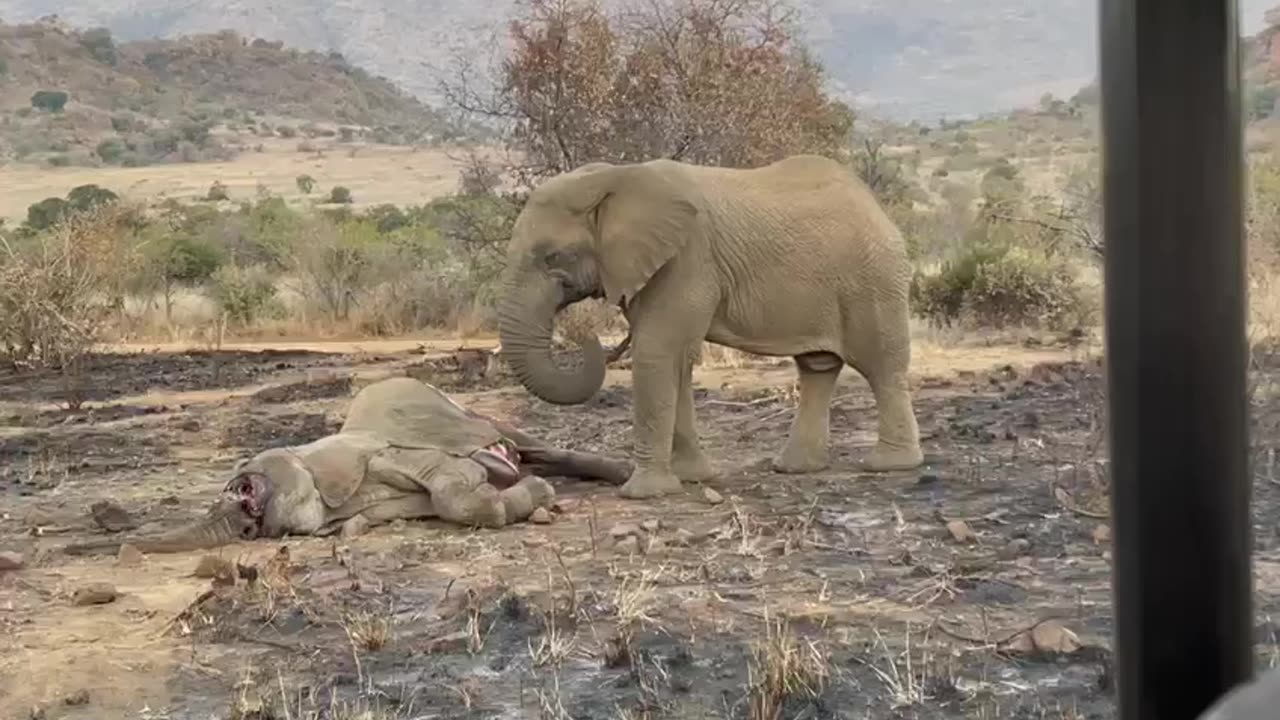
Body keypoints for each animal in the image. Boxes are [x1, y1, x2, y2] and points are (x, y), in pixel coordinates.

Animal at [64, 371, 634, 550]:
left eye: (241, 485)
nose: (234, 502)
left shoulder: (385, 455)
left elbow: (456, 490)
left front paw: (542, 497)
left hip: (464, 412)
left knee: (525, 445)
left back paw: (624, 475)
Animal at [494, 153, 926, 497]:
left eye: (552, 256)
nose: (590, 338)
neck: (614, 178)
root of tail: (877, 207)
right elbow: (677, 362)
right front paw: (692, 479)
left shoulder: (687, 260)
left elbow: (656, 352)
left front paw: (644, 493)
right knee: (818, 367)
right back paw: (795, 468)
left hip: (873, 280)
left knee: (881, 366)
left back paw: (889, 465)